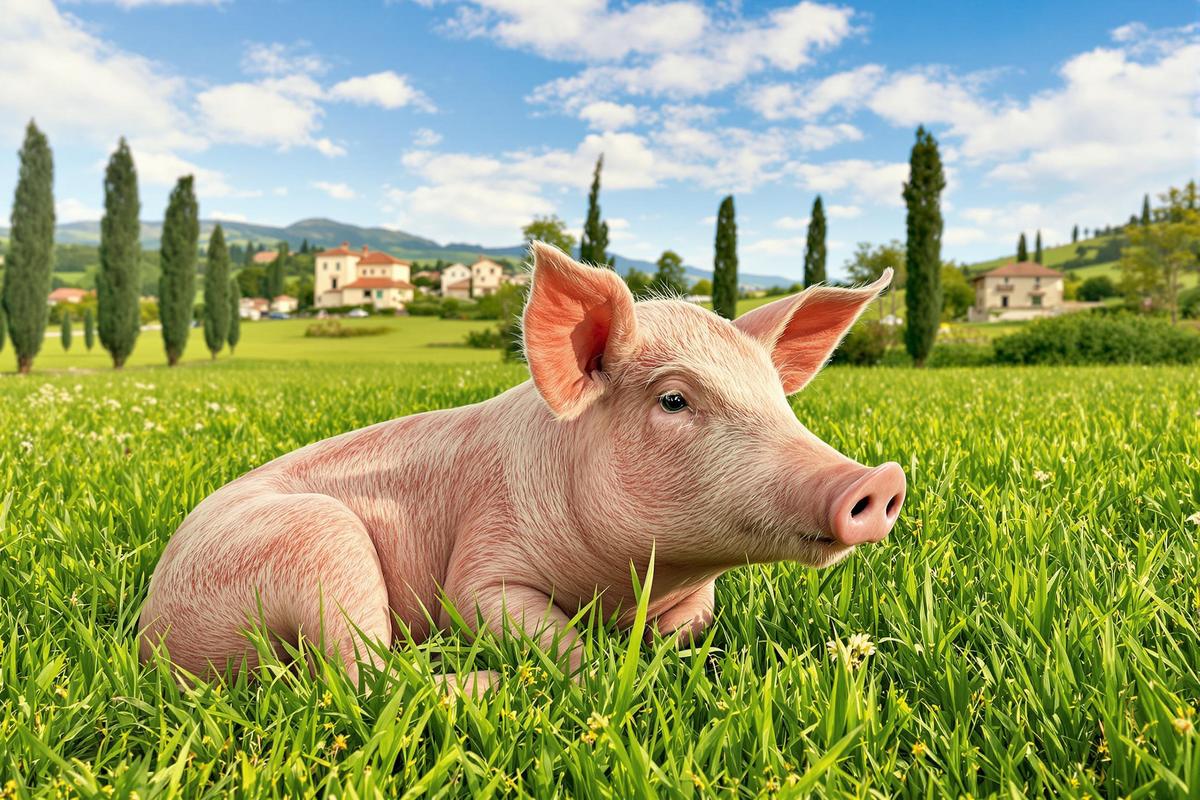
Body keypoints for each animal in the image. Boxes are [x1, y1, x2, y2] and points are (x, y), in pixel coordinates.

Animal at [138, 243, 904, 693]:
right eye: (674, 399)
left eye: (778, 397)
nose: (880, 479)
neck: (620, 585)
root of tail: (151, 635)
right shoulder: (485, 562)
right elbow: (525, 624)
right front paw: (603, 677)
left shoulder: (693, 597)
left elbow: (694, 626)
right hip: (313, 544)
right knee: (364, 676)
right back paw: (484, 685)